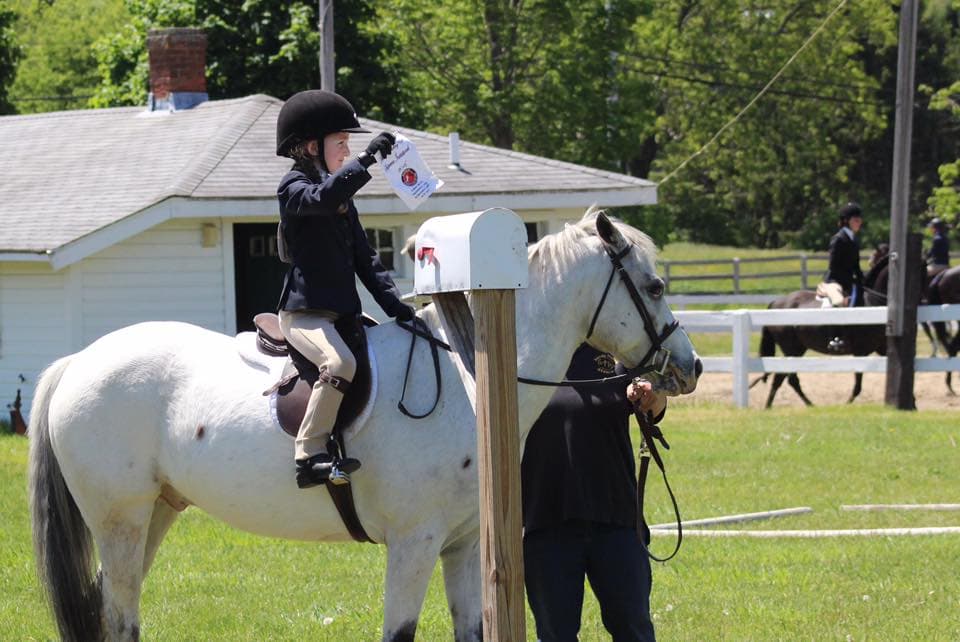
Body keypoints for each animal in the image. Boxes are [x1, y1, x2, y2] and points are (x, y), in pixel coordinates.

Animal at [28, 208, 696, 636]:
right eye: (654, 286)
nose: (688, 367)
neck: (467, 378)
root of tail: (78, 361)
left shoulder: (462, 547)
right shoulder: (413, 544)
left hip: (156, 514)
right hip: (120, 518)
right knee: (120, 616)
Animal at [752, 248, 892, 408]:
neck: (873, 302)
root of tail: (776, 303)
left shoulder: (882, 347)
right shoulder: (860, 351)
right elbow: (858, 385)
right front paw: (847, 404)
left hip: (797, 349)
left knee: (781, 378)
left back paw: (771, 407)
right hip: (791, 349)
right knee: (789, 379)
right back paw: (808, 405)